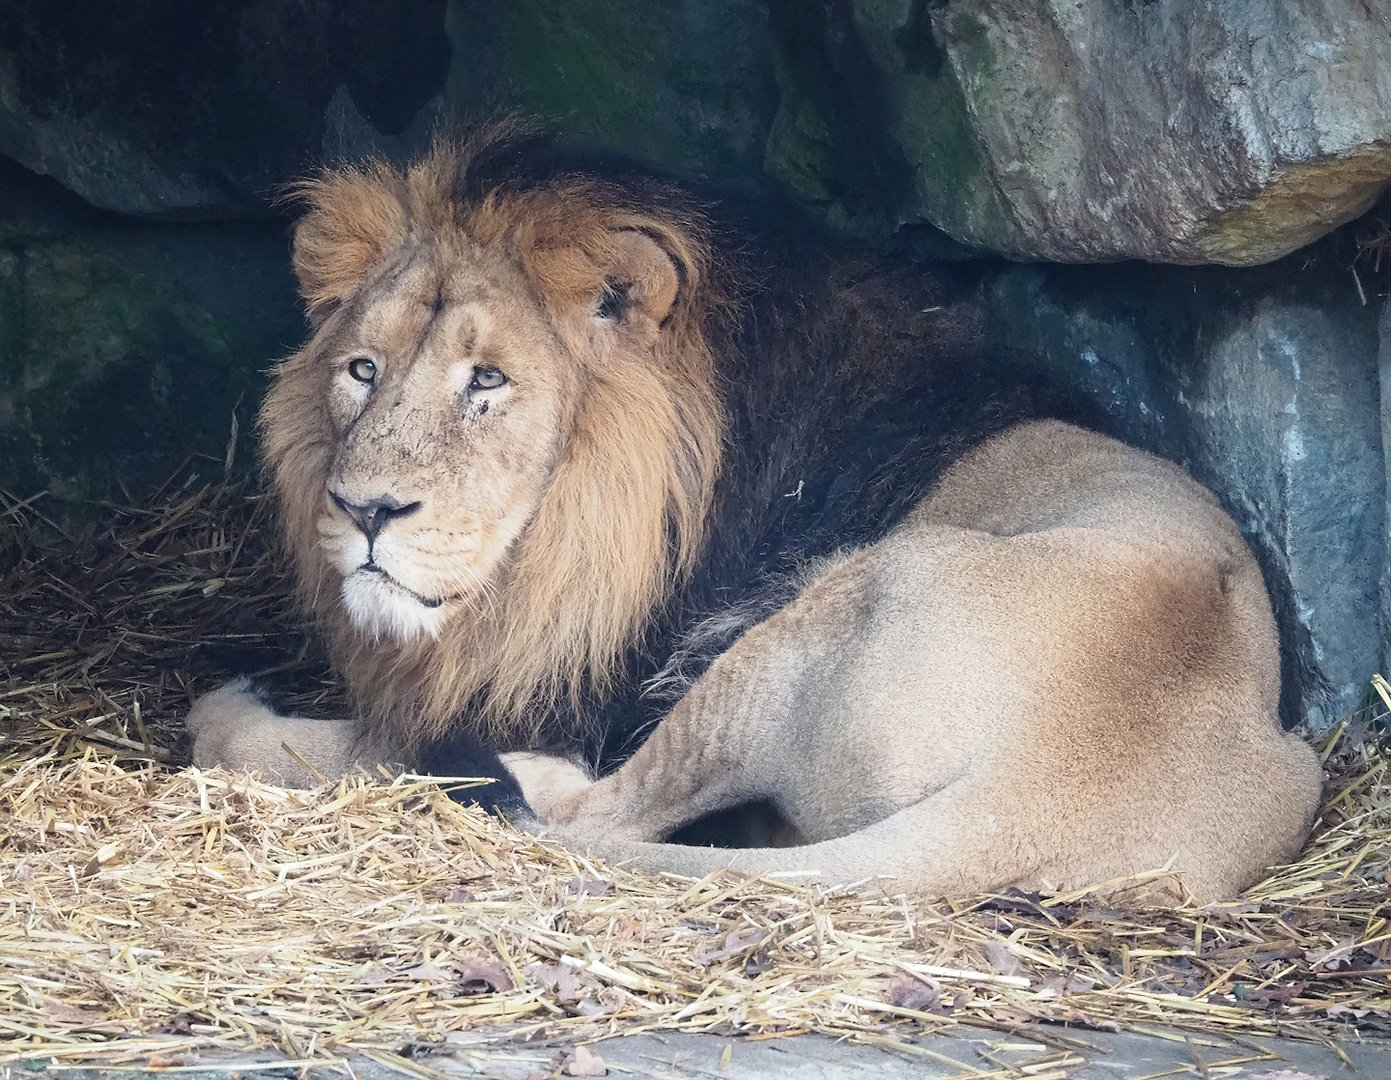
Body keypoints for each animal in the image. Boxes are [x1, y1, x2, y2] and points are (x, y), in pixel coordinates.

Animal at [187, 125, 1322, 903]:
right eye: (361, 370)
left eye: (489, 381)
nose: (364, 509)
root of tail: (1040, 794)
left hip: (840, 602)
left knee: (584, 806)